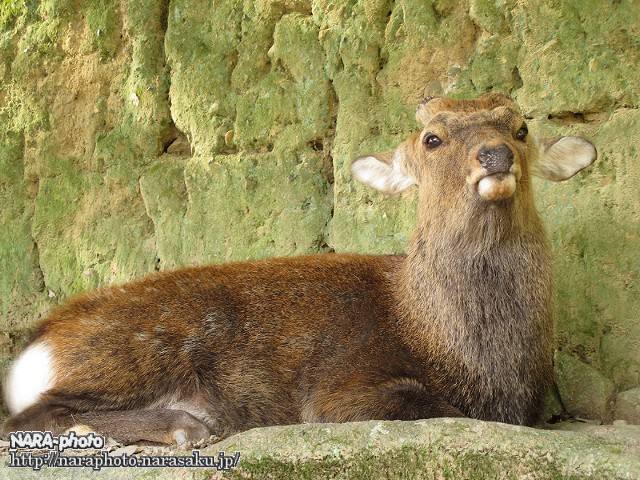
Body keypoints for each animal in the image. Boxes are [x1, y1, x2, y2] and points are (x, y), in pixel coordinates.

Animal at [2, 93, 596, 445]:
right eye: (432, 139)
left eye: (521, 129)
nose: (495, 155)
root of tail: (35, 348)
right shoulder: (340, 391)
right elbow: (436, 406)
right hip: (132, 353)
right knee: (30, 416)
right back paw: (185, 425)